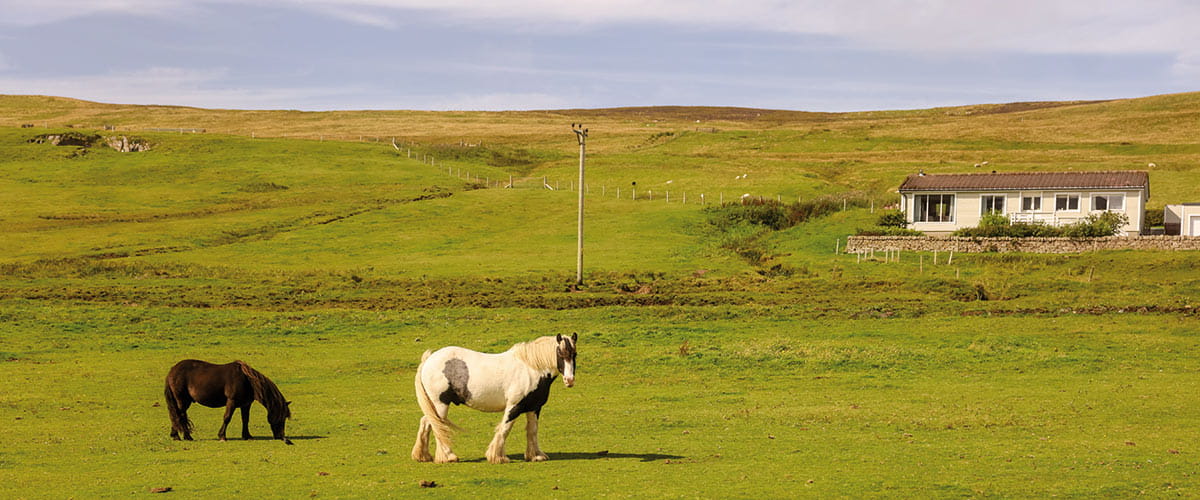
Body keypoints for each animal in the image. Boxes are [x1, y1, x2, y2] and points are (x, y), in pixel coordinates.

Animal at [164, 359, 293, 445]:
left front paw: (247, 436)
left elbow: (245, 419)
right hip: (183, 401)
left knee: (176, 416)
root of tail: (172, 370)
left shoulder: (246, 404)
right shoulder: (232, 401)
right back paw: (187, 436)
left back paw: (175, 436)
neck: (247, 380)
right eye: (281, 417)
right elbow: (227, 418)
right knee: (179, 416)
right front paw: (222, 436)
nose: (280, 436)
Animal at [412, 333, 578, 464]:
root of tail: (428, 360)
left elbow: (532, 430)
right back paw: (449, 456)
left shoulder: (534, 408)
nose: (569, 380)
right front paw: (498, 457)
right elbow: (505, 428)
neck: (531, 369)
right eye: (560, 354)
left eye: (574, 354)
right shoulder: (514, 407)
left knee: (426, 423)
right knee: (436, 425)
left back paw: (423, 456)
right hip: (440, 404)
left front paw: (536, 456)